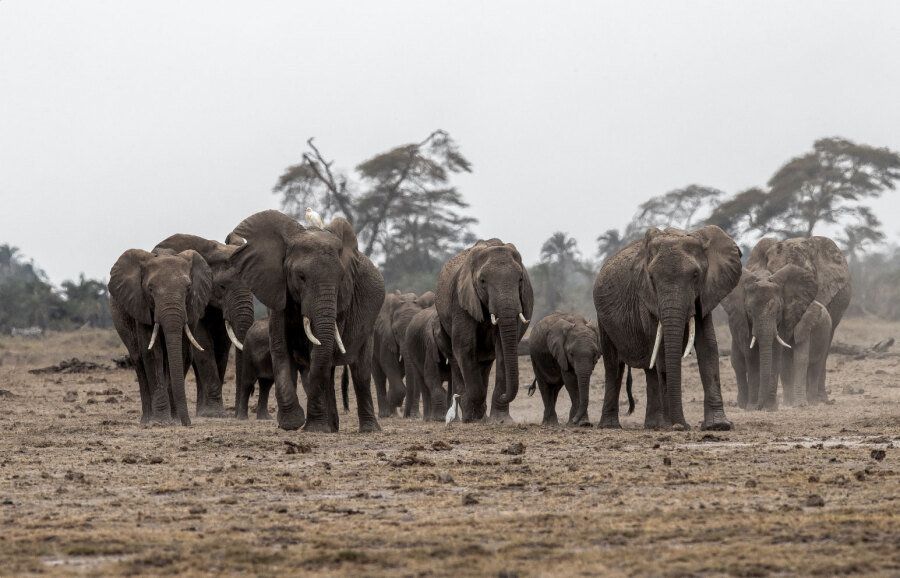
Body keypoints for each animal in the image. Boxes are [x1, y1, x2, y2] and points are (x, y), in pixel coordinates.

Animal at [109, 246, 213, 424]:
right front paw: (161, 421)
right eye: (150, 289)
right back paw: (146, 420)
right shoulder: (140, 305)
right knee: (138, 359)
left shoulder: (190, 309)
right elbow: (152, 353)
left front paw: (175, 420)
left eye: (188, 288)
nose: (188, 424)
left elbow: (183, 353)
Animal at [153, 232, 255, 416]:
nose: (238, 414)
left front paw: (214, 413)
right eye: (222, 286)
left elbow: (222, 347)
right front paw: (214, 414)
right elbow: (204, 344)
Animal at [229, 209, 384, 430]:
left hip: (370, 320)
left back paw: (367, 429)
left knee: (359, 371)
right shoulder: (277, 291)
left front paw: (314, 427)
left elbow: (319, 353)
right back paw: (332, 428)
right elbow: (281, 348)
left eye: (341, 278)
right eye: (300, 277)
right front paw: (291, 423)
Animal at [436, 236, 536, 420]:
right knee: (456, 358)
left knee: (486, 362)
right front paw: (473, 416)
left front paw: (501, 420)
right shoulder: (460, 301)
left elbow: (502, 348)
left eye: (520, 280)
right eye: (482, 281)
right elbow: (465, 346)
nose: (530, 389)